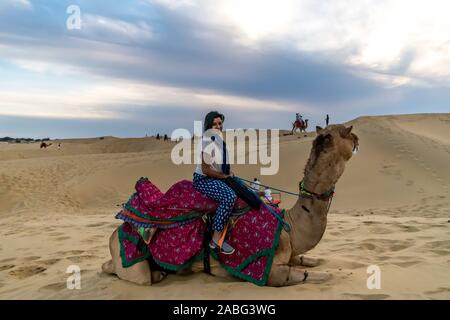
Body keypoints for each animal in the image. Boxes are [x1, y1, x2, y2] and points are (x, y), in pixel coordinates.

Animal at [101, 124, 358, 286]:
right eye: (347, 132)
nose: (357, 139)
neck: (289, 226)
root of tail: (114, 234)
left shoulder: (291, 253)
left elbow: (313, 261)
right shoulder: (268, 271)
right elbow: (318, 276)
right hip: (132, 262)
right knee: (131, 274)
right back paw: (158, 275)